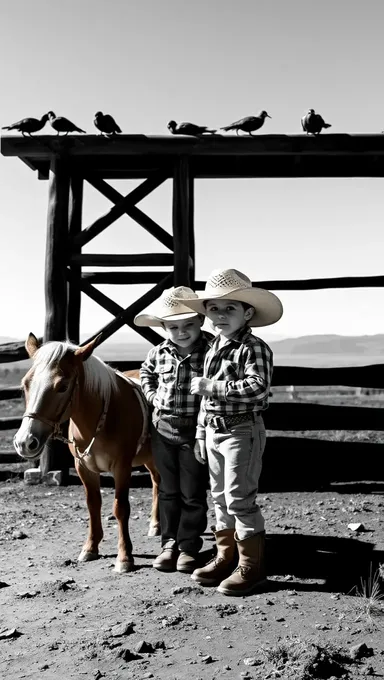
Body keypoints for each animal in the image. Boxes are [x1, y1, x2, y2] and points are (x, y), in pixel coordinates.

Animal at [13, 332, 160, 572]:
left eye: (62, 386)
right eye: (25, 384)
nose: (25, 442)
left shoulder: (122, 467)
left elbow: (120, 508)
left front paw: (124, 557)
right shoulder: (83, 467)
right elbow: (93, 504)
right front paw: (90, 548)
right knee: (157, 482)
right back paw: (156, 525)